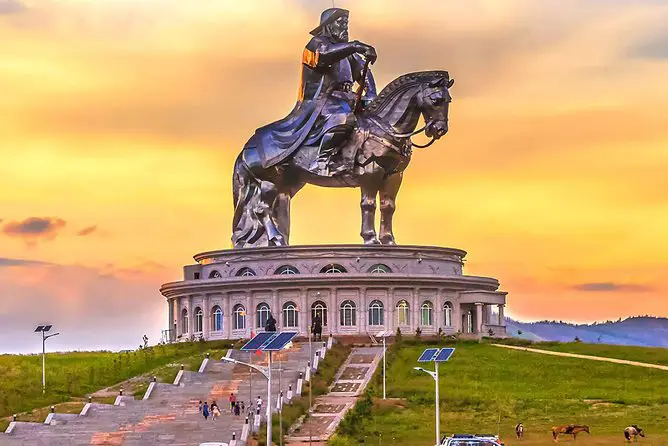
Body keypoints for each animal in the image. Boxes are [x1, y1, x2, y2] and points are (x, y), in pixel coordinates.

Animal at [231, 71, 454, 249]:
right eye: (436, 100)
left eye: (448, 100)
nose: (439, 130)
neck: (386, 127)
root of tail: (248, 145)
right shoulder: (371, 172)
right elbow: (368, 204)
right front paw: (370, 239)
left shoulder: (394, 175)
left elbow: (388, 206)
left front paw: (389, 240)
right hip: (270, 180)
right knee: (262, 209)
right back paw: (276, 239)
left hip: (290, 183)